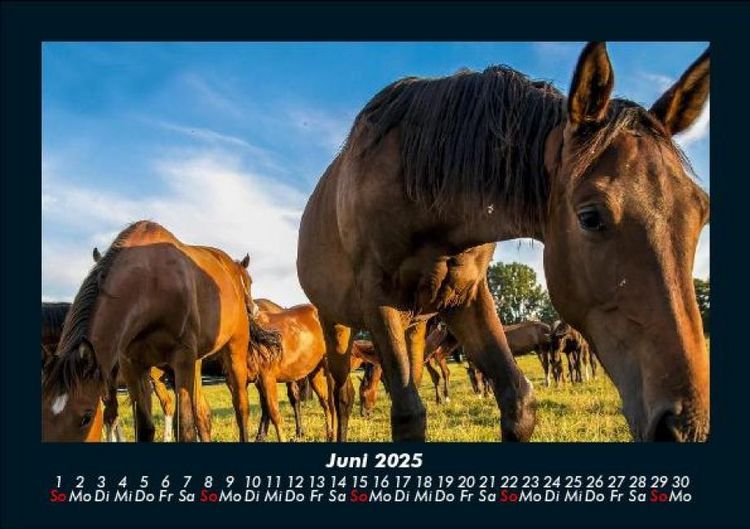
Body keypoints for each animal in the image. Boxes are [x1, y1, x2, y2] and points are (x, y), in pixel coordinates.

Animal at [42, 221, 262, 442]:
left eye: (86, 418)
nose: (253, 309)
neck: (151, 285)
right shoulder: (132, 366)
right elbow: (144, 428)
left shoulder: (182, 359)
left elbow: (184, 428)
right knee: (202, 413)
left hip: (234, 351)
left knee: (240, 407)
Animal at [297, 42, 710, 442]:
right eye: (590, 217)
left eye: (702, 211)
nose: (683, 426)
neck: (419, 190)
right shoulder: (378, 301)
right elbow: (408, 416)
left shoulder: (465, 297)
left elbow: (518, 401)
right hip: (337, 324)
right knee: (341, 394)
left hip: (413, 325)